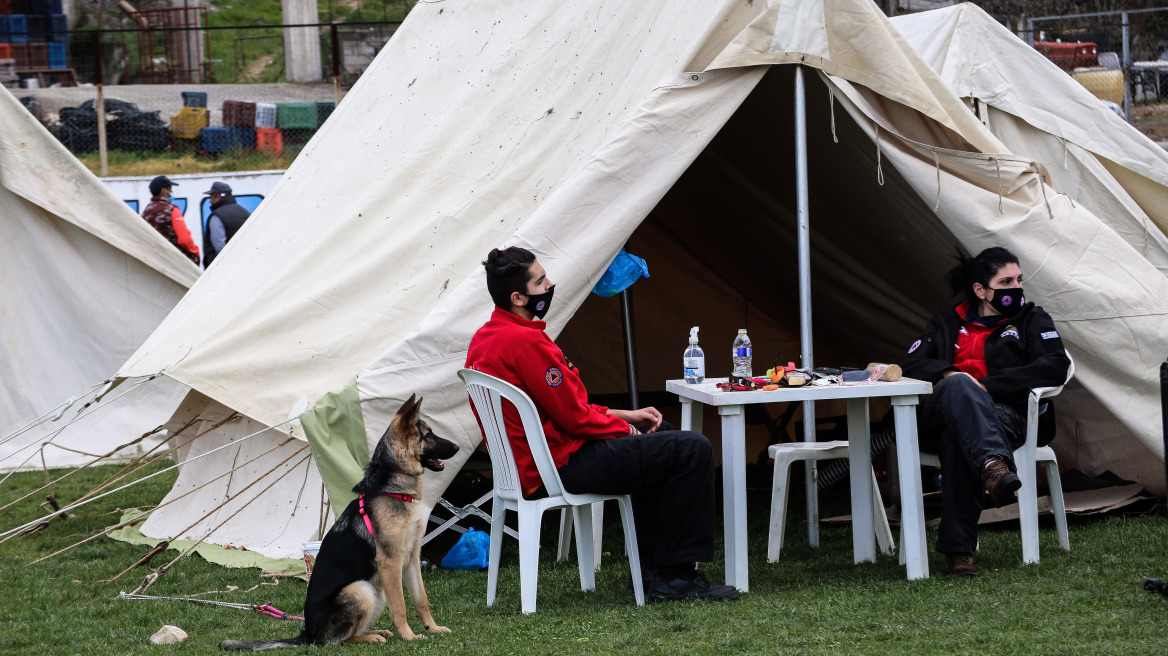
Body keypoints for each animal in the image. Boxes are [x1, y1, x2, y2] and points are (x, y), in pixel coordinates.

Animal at [220, 392, 457, 648]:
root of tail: (307, 633)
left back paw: (376, 632)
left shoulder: (411, 558)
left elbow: (421, 599)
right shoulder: (391, 562)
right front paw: (409, 636)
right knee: (340, 640)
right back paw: (372, 637)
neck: (392, 487)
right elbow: (400, 606)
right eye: (428, 434)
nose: (457, 446)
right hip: (362, 589)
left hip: (376, 591)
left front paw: (432, 628)